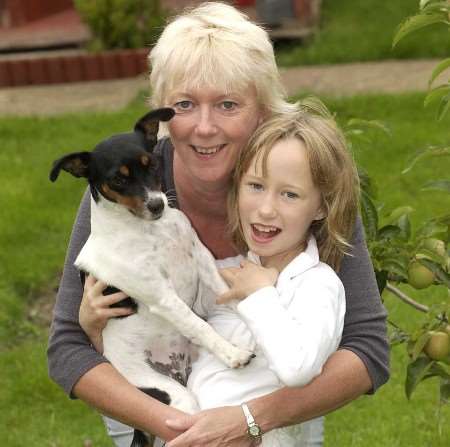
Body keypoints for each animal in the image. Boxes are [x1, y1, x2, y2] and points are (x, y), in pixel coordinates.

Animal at [50, 108, 253, 447]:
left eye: (153, 164)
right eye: (118, 179)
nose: (157, 204)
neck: (151, 231)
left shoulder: (201, 259)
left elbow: (230, 296)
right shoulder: (162, 296)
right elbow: (198, 324)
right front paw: (233, 353)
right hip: (172, 399)